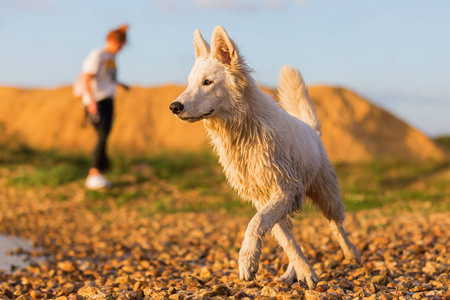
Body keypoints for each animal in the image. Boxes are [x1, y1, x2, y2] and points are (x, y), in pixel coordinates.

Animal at [170, 25, 362, 288]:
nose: (174, 107)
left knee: (336, 225)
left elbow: (256, 223)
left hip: (326, 194)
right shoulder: (264, 196)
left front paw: (247, 260)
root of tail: (312, 129)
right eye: (189, 83)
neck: (245, 130)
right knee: (292, 235)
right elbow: (285, 239)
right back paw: (293, 273)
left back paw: (352, 253)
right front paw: (304, 272)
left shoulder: (286, 189)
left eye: (207, 82)